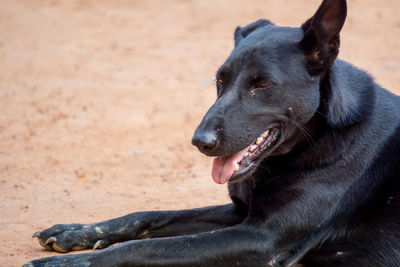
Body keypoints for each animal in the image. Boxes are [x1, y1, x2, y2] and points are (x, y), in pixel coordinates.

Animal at [25, 1, 400, 266]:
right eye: (221, 79)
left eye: (262, 85)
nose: (199, 143)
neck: (322, 135)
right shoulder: (241, 215)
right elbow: (148, 216)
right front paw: (78, 233)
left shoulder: (262, 238)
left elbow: (144, 249)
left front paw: (72, 263)